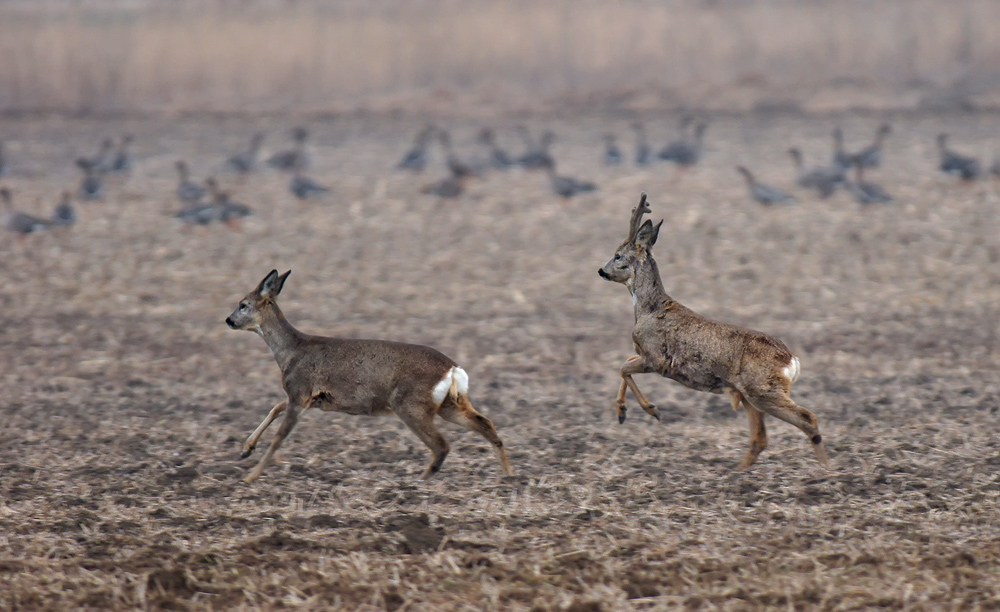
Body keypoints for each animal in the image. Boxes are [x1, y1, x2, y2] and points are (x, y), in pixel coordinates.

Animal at [223, 270, 512, 480]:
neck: (291, 351)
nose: (228, 320)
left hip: (410, 404)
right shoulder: (307, 398)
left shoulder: (300, 391)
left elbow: (279, 437)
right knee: (485, 424)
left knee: (442, 444)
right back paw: (508, 475)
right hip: (448, 404)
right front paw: (245, 450)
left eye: (243, 304)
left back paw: (420, 481)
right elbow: (275, 407)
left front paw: (251, 476)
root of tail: (452, 369)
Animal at [600, 194, 828, 470]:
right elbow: (626, 361)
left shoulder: (656, 358)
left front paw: (651, 410)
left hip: (764, 389)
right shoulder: (646, 355)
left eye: (618, 255)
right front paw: (622, 412)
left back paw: (826, 471)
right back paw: (737, 472)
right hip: (749, 395)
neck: (649, 308)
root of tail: (791, 359)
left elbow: (623, 367)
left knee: (807, 418)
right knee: (760, 438)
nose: (601, 271)